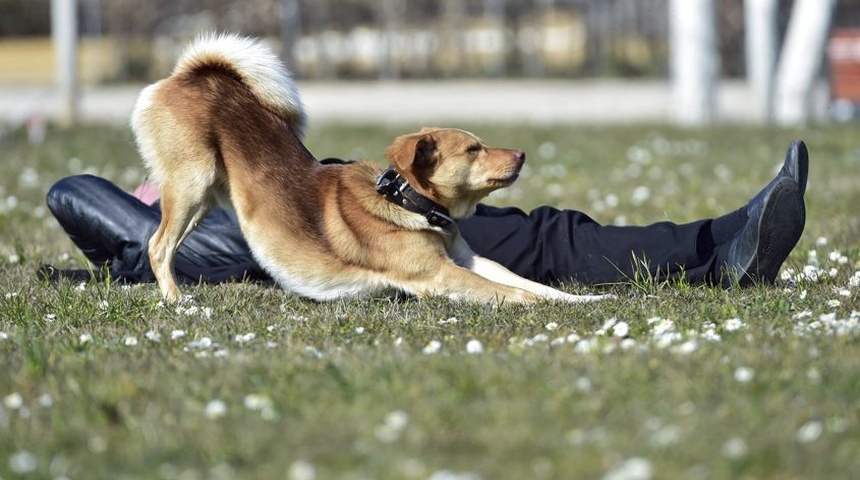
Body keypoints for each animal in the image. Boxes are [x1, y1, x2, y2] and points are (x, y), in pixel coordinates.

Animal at [131, 32, 608, 304]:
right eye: (473, 149)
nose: (523, 155)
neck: (411, 204)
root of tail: (191, 74)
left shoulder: (468, 260)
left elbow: (530, 285)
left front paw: (582, 302)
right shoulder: (439, 274)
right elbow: (514, 293)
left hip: (206, 198)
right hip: (190, 184)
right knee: (158, 246)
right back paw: (177, 301)